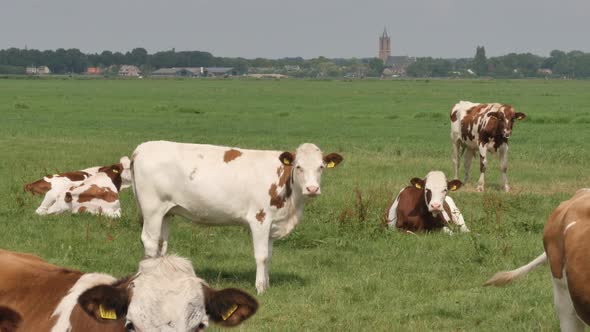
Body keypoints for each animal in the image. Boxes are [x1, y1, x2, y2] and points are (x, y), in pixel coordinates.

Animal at [130, 140, 342, 294]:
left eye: (321, 167)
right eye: (298, 167)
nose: (312, 189)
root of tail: (142, 148)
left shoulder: (272, 223)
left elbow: (269, 255)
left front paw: (267, 284)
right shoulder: (260, 218)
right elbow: (261, 256)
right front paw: (260, 288)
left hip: (166, 212)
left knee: (161, 245)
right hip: (152, 209)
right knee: (150, 243)